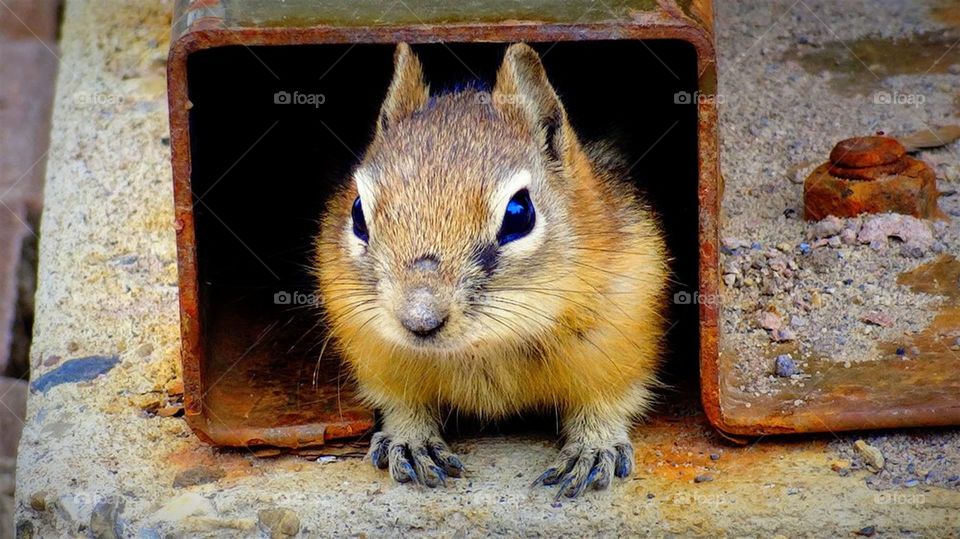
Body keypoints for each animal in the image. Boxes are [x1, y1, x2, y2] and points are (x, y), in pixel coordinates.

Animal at [315, 42, 669, 498]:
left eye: (519, 214)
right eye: (358, 213)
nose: (419, 320)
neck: (484, 345)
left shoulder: (619, 336)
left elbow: (608, 400)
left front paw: (594, 445)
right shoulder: (376, 351)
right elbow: (399, 401)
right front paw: (409, 438)